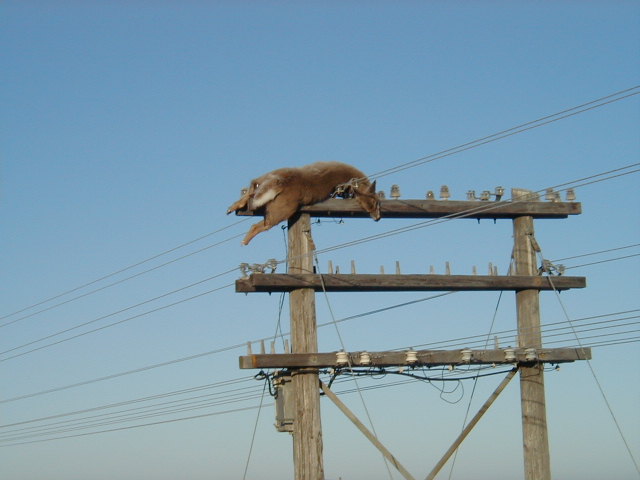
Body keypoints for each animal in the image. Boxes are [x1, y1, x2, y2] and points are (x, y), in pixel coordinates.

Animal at [227, 161, 381, 245]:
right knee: (259, 225)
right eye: (375, 203)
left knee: (251, 191)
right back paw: (245, 240)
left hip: (263, 181)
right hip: (281, 211)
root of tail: (281, 182)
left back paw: (233, 207)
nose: (378, 218)